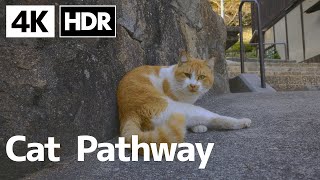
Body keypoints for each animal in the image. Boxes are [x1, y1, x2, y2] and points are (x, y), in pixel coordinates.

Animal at [117, 51, 252, 144]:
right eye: (187, 74)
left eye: (201, 77)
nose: (193, 85)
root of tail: (129, 113)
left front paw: (197, 127)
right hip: (185, 109)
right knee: (217, 119)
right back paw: (243, 121)